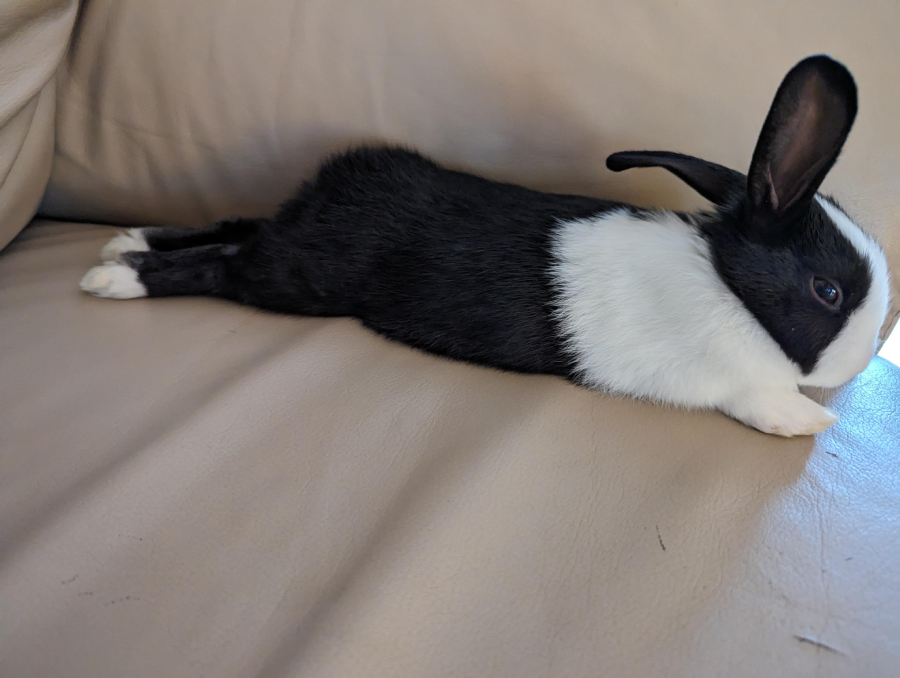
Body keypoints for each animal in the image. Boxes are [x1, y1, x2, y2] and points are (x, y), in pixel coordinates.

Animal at [81, 55, 891, 437]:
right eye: (828, 291)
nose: (858, 363)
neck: (727, 284)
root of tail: (335, 183)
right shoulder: (727, 380)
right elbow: (761, 400)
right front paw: (809, 422)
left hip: (288, 240)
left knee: (236, 226)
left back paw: (125, 242)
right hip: (295, 276)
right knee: (226, 265)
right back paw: (113, 281)